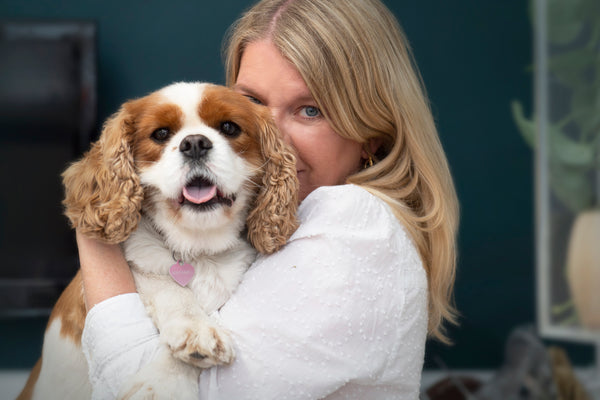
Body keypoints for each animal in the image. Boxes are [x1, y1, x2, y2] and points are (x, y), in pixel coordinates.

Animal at [17, 82, 298, 400]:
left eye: (229, 127)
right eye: (161, 134)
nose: (195, 143)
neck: (196, 248)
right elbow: (167, 287)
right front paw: (189, 340)